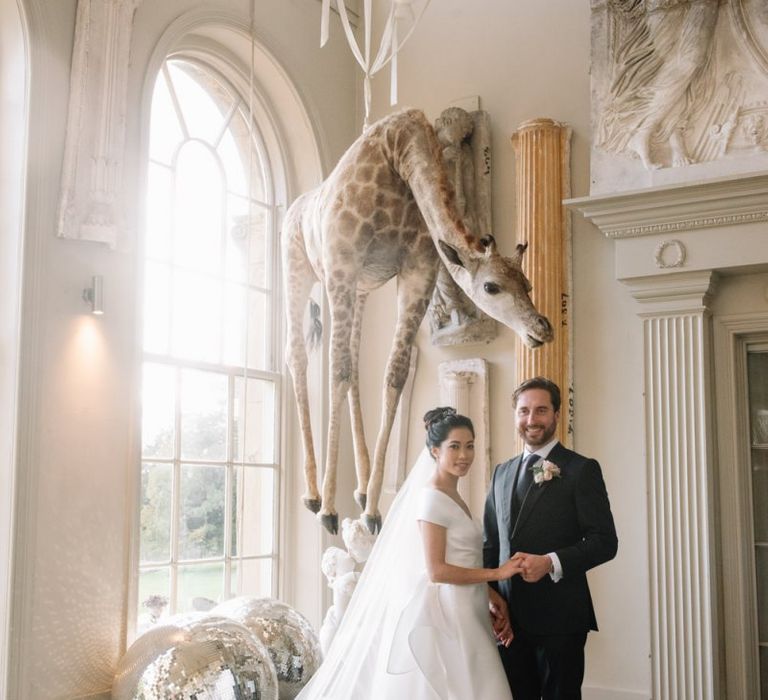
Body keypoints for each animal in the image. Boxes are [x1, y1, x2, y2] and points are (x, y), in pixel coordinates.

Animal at [282, 109, 552, 532]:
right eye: (491, 287)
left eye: (527, 283)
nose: (542, 328)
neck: (399, 153)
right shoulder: (342, 264)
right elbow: (336, 370)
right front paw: (329, 509)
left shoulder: (418, 270)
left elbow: (393, 374)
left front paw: (373, 511)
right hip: (299, 269)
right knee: (299, 356)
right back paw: (313, 496)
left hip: (360, 290)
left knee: (354, 367)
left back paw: (361, 490)